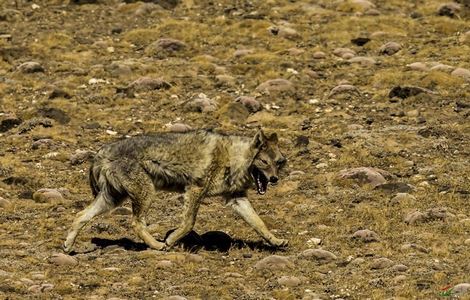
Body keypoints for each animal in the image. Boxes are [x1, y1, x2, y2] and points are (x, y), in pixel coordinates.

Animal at [64, 127, 288, 252]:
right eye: (264, 162)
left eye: (278, 162)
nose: (274, 179)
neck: (233, 158)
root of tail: (101, 153)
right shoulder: (195, 190)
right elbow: (188, 223)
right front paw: (171, 239)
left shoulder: (237, 199)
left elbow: (260, 224)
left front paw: (276, 241)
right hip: (146, 194)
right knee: (136, 223)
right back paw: (157, 245)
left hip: (112, 200)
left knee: (80, 215)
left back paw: (67, 246)